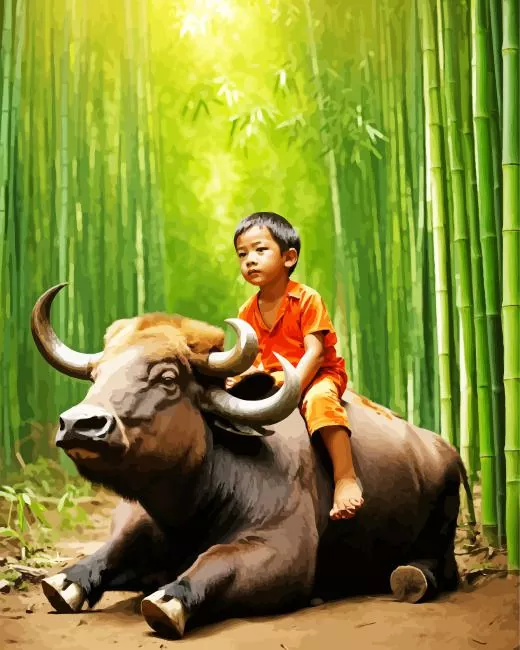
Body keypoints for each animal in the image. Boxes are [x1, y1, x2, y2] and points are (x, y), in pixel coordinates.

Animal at [31, 284, 470, 639]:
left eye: (168, 378)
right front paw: (66, 581)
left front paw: (170, 600)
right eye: (96, 375)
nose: (80, 424)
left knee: (439, 565)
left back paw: (411, 576)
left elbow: (213, 563)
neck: (191, 509)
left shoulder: (282, 550)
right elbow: (107, 554)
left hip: (444, 520)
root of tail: (443, 448)